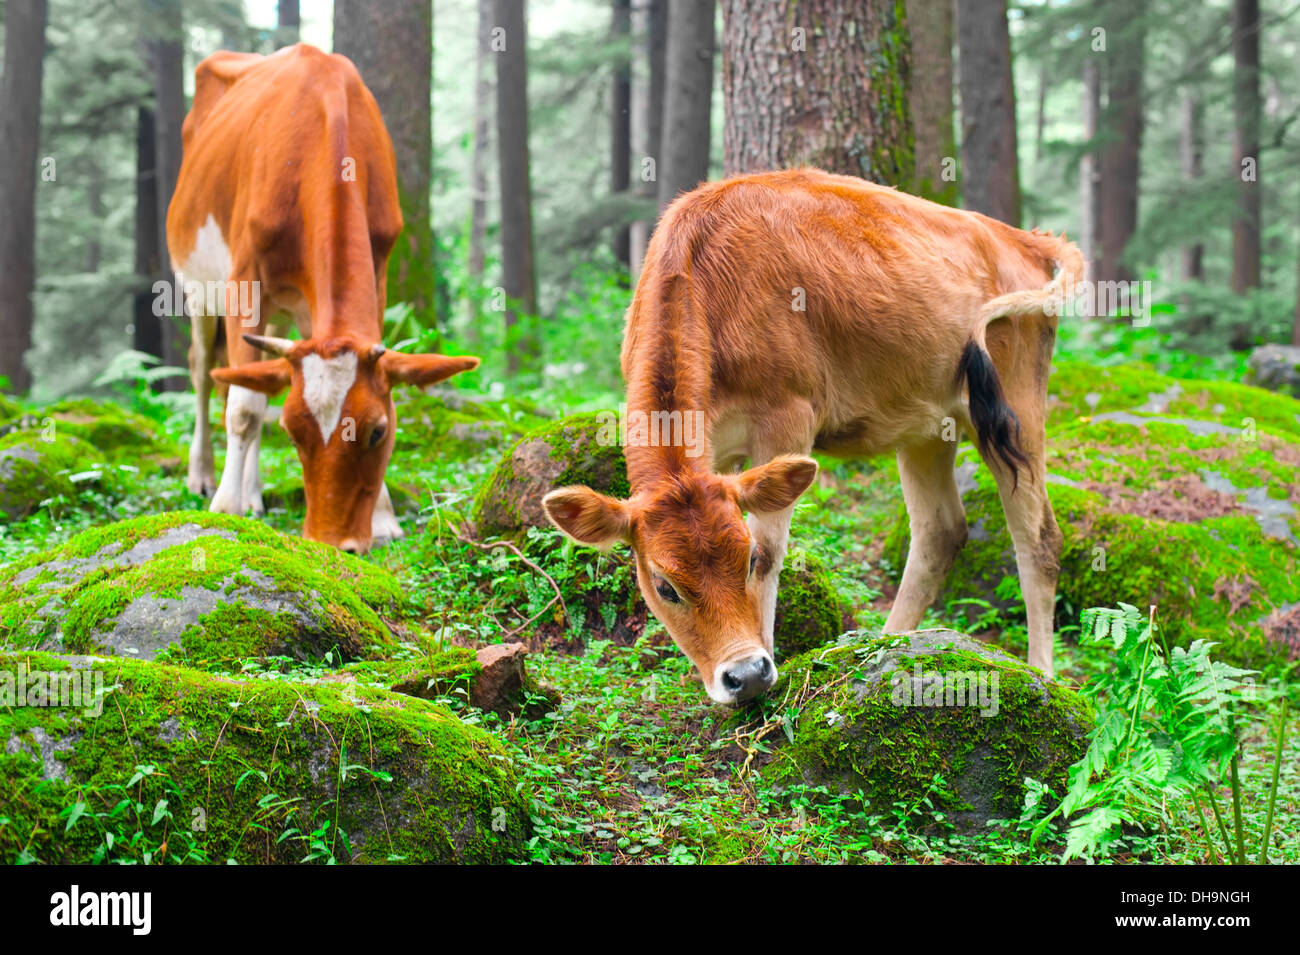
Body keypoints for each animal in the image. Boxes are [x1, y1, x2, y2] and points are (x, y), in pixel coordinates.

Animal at [166, 44, 479, 554]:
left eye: (378, 431)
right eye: (294, 432)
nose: (333, 545)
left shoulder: (379, 265)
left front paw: (384, 516)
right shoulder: (243, 279)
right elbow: (243, 408)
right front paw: (226, 508)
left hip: (284, 311)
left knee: (261, 375)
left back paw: (253, 492)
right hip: (196, 285)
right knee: (203, 371)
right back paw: (206, 476)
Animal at [542, 168, 1083, 705]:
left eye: (746, 561)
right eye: (665, 586)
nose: (745, 673)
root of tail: (1025, 239)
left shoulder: (788, 419)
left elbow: (773, 543)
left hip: (1013, 410)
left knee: (1038, 538)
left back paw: (1043, 674)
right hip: (927, 427)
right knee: (939, 531)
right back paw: (885, 642)